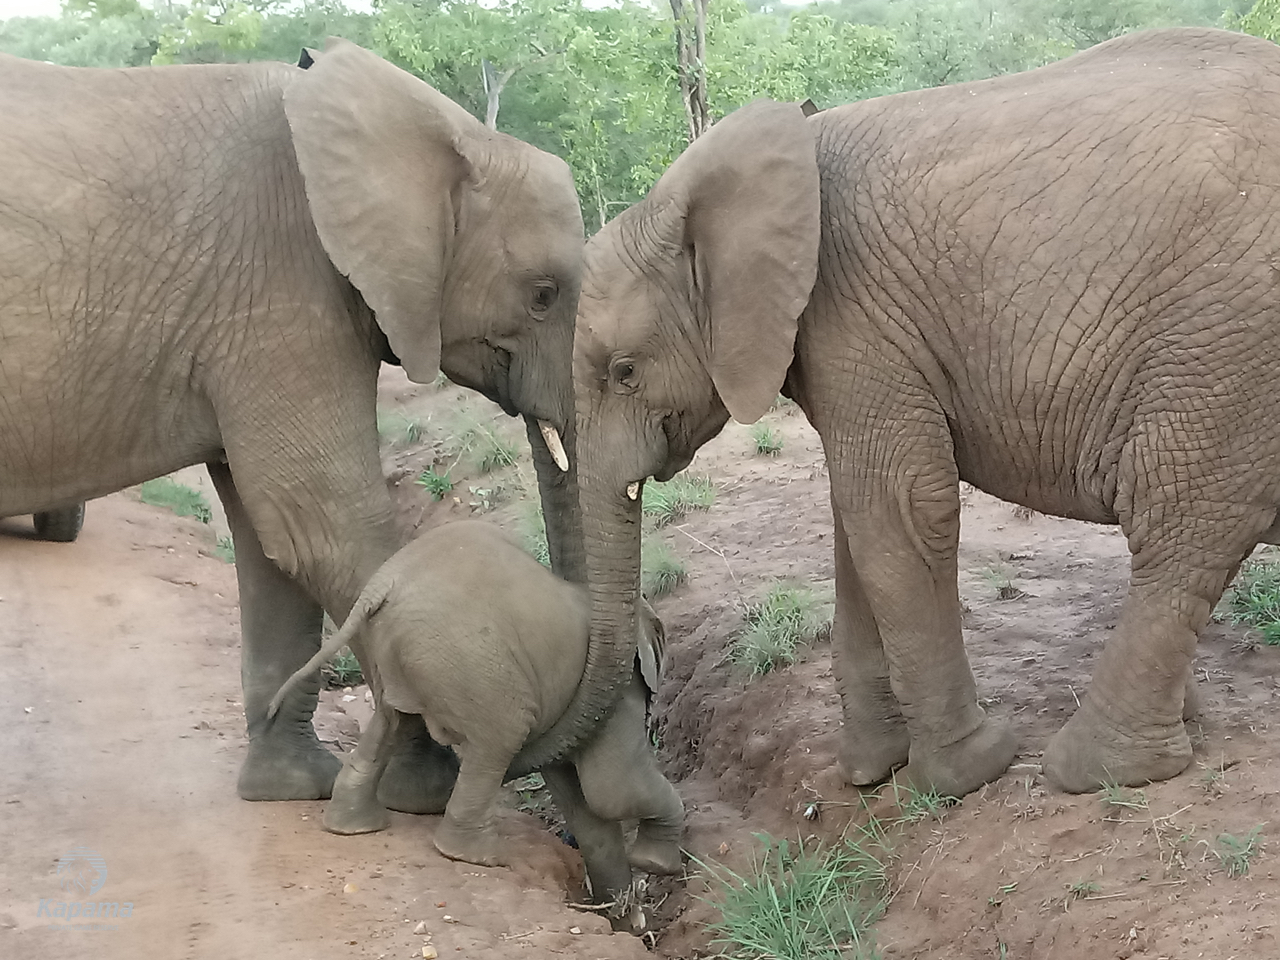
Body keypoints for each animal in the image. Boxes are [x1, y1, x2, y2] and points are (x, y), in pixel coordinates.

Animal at [0, 38, 586, 808]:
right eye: (543, 295)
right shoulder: (283, 289)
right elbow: (328, 525)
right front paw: (427, 790)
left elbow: (272, 540)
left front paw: (291, 788)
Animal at [268, 520, 684, 909]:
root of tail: (382, 585)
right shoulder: (622, 690)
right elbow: (612, 789)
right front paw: (657, 864)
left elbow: (582, 794)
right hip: (467, 660)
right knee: (500, 736)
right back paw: (482, 855)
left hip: (397, 652)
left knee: (392, 721)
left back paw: (353, 827)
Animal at [567, 26, 1280, 797]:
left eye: (623, 372)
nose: (652, 668)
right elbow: (855, 520)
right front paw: (867, 773)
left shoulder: (851, 312)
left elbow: (900, 504)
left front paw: (963, 776)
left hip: (1226, 341)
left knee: (1174, 521)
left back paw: (1095, 771)